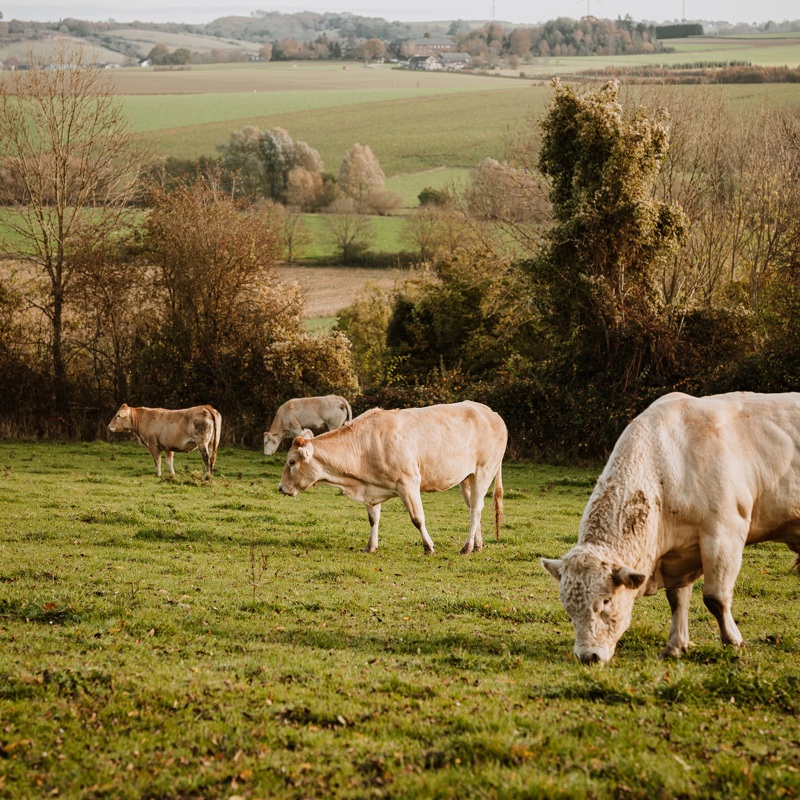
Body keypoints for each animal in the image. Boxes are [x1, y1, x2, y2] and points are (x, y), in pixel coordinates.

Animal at [276, 400, 506, 556]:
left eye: (292, 462)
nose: (281, 487)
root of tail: (490, 412)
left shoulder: (408, 483)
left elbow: (417, 518)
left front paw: (429, 546)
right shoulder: (371, 487)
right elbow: (373, 519)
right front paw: (370, 546)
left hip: (484, 471)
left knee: (475, 509)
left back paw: (466, 547)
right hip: (467, 478)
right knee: (474, 509)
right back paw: (477, 545)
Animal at [544, 392, 800, 664]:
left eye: (606, 600)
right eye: (569, 609)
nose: (588, 655)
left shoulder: (724, 533)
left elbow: (715, 598)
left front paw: (733, 641)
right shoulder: (680, 553)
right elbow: (677, 600)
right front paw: (675, 646)